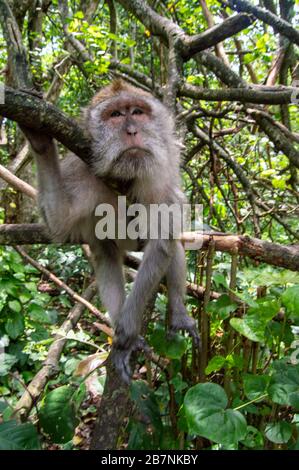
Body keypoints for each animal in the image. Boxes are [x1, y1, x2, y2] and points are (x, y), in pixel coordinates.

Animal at [22, 80, 199, 382]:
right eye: (115, 115)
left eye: (137, 112)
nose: (131, 131)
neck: (125, 178)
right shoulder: (81, 170)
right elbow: (60, 222)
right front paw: (39, 139)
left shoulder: (162, 181)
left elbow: (161, 245)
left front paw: (126, 337)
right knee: (104, 253)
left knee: (171, 245)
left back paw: (177, 312)